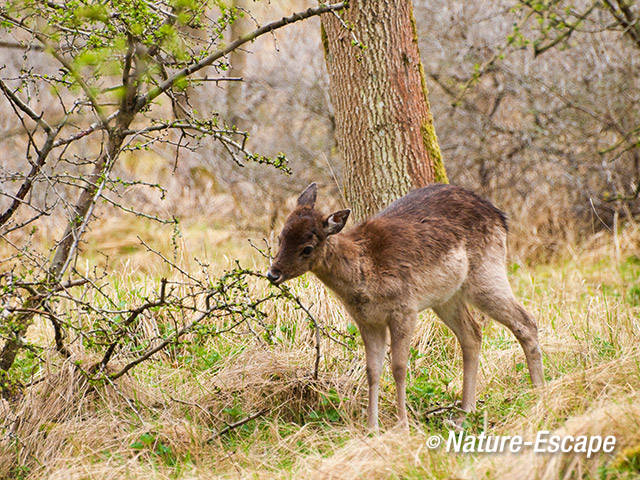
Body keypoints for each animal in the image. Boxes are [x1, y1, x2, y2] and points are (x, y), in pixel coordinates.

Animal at [266, 183, 544, 432]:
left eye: (307, 248)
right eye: (280, 237)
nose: (272, 274)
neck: (363, 277)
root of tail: (500, 216)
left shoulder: (405, 308)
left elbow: (399, 368)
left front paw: (403, 426)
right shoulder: (366, 320)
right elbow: (372, 370)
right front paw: (372, 428)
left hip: (485, 273)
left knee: (526, 321)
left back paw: (538, 394)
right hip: (446, 297)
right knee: (473, 334)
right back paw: (464, 413)